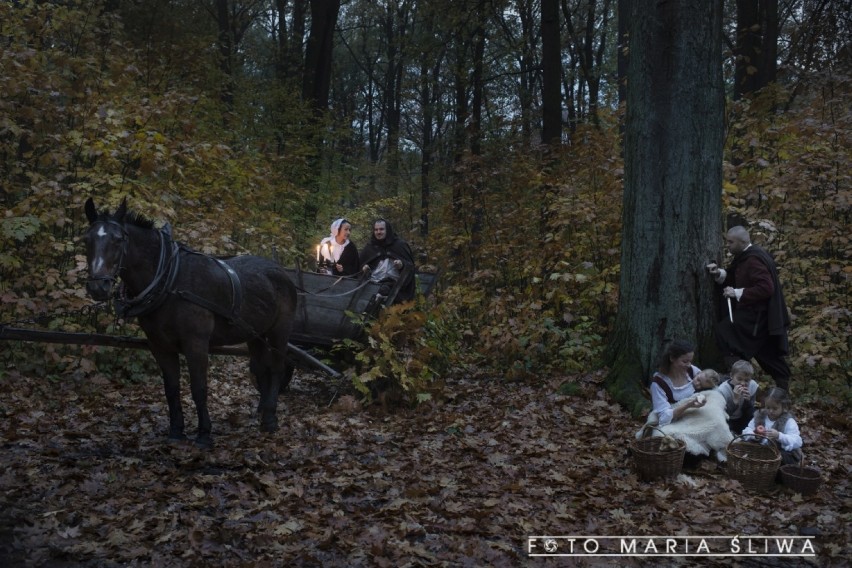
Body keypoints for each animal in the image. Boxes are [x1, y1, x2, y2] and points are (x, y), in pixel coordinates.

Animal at [83, 197, 296, 446]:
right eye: (86, 239)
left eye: (118, 240)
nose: (98, 286)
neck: (170, 281)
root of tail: (279, 270)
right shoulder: (160, 346)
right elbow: (171, 389)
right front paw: (176, 431)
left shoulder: (196, 344)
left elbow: (199, 388)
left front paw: (204, 433)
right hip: (255, 333)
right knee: (261, 368)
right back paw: (262, 410)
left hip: (280, 331)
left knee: (277, 368)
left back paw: (270, 418)